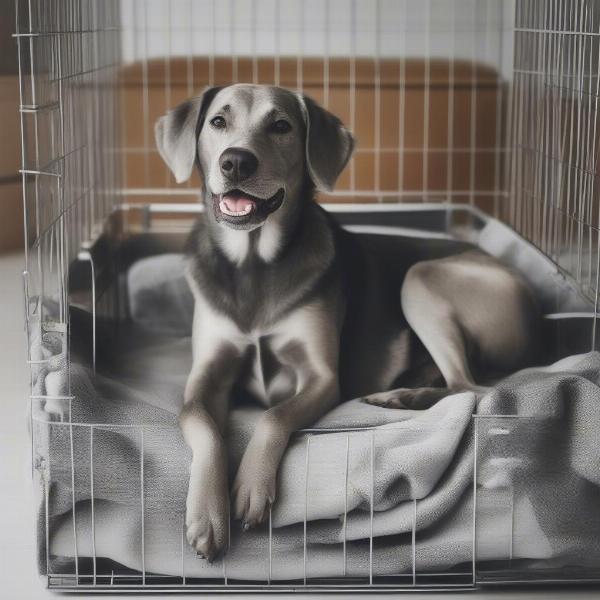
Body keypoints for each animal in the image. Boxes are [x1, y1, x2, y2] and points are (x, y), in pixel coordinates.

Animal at [154, 82, 540, 560]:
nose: (236, 161)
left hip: (421, 279)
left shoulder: (321, 378)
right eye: (218, 122)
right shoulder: (206, 374)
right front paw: (207, 513)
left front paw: (251, 485)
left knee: (472, 389)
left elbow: (274, 416)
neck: (254, 263)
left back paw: (401, 398)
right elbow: (204, 425)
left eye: (281, 125)